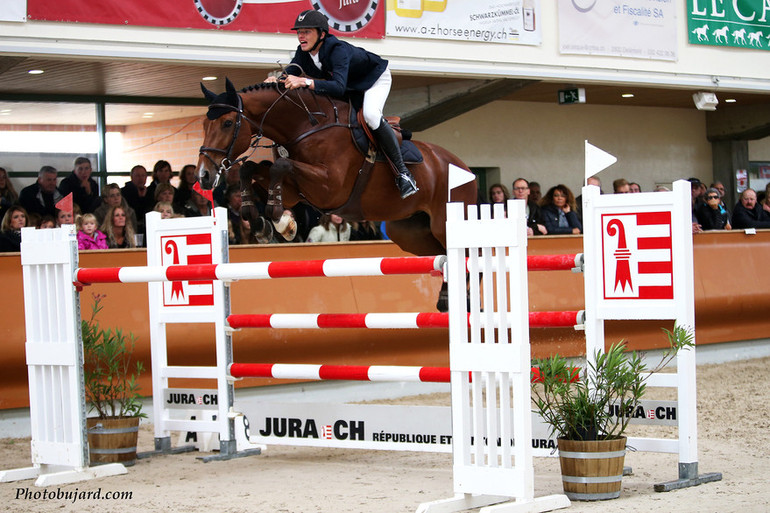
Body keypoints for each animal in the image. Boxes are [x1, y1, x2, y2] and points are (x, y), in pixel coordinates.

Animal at [195, 77, 476, 308]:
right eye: (204, 124)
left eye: (228, 123)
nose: (203, 175)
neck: (304, 128)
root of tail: (465, 168)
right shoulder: (295, 192)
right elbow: (252, 169)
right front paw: (267, 222)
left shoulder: (329, 188)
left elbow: (280, 165)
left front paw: (278, 217)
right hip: (408, 232)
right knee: (441, 253)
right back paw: (450, 296)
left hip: (444, 220)